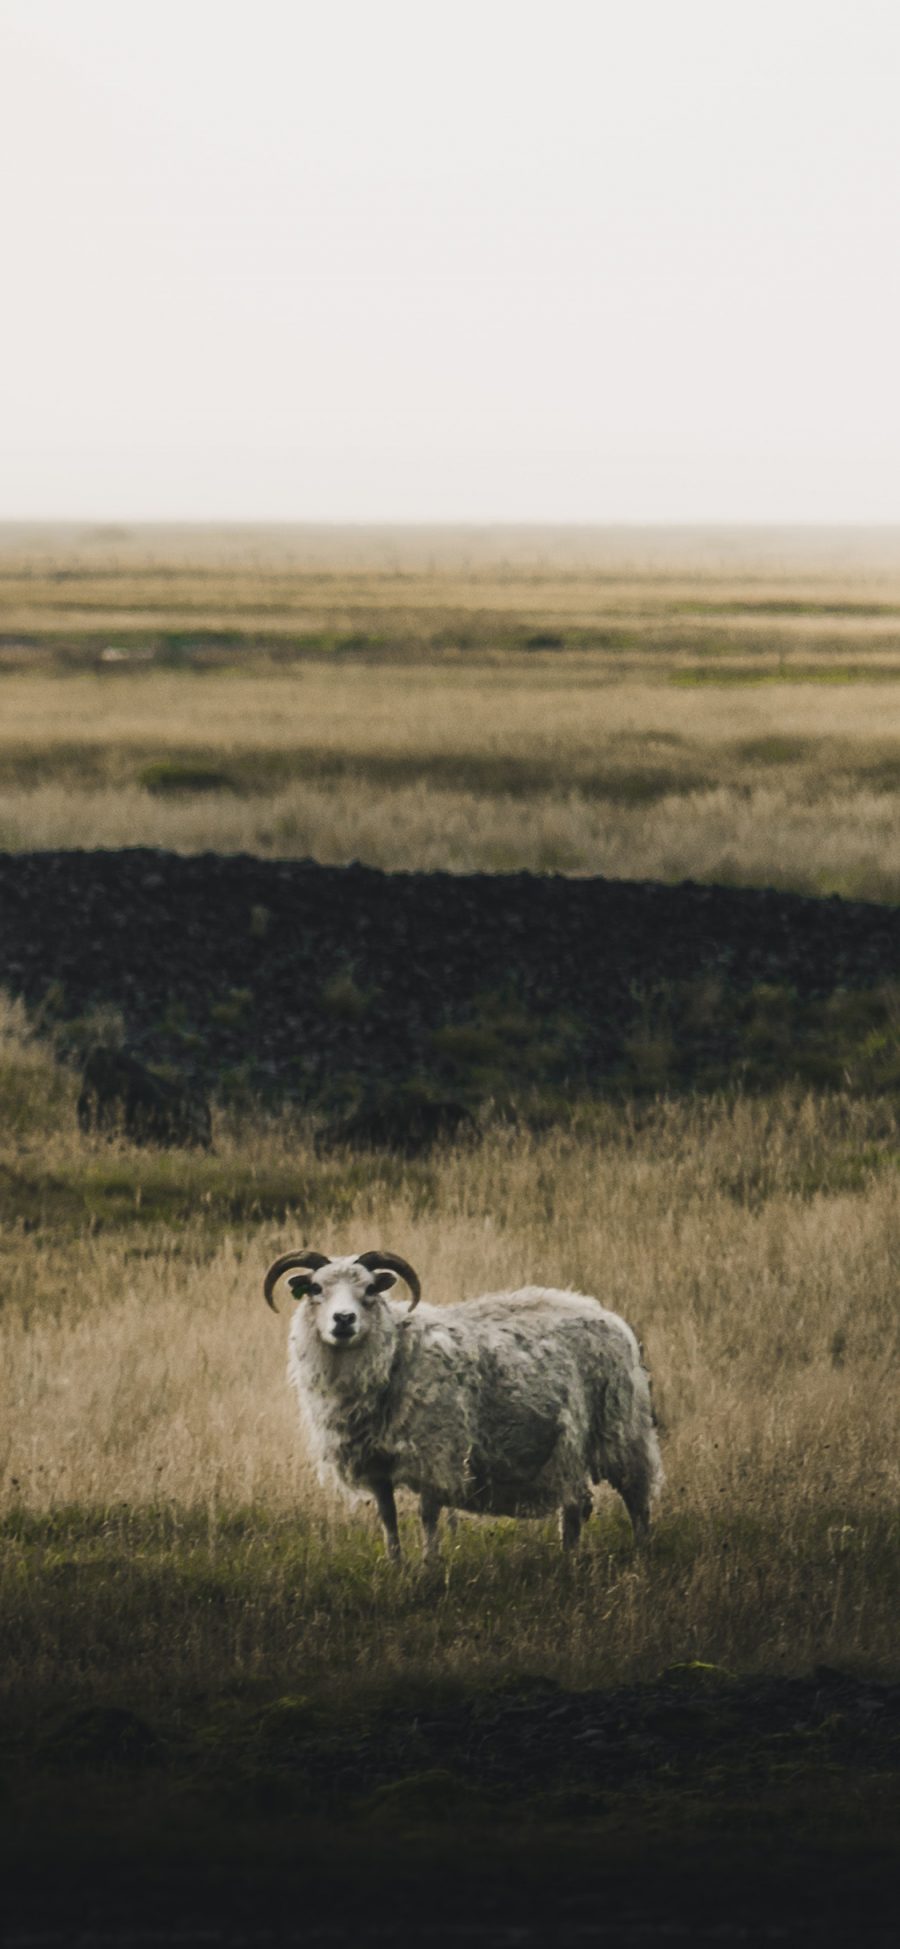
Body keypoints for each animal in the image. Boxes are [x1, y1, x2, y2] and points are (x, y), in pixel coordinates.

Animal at [261, 1255, 662, 1559]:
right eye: (316, 1289)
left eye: (371, 1289)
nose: (343, 1319)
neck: (395, 1353)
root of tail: (607, 1315)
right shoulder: (376, 1466)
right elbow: (388, 1519)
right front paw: (396, 1566)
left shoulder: (434, 1454)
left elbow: (427, 1516)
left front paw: (429, 1568)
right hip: (565, 1450)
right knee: (575, 1505)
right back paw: (569, 1558)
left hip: (622, 1429)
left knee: (636, 1495)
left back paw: (641, 1551)